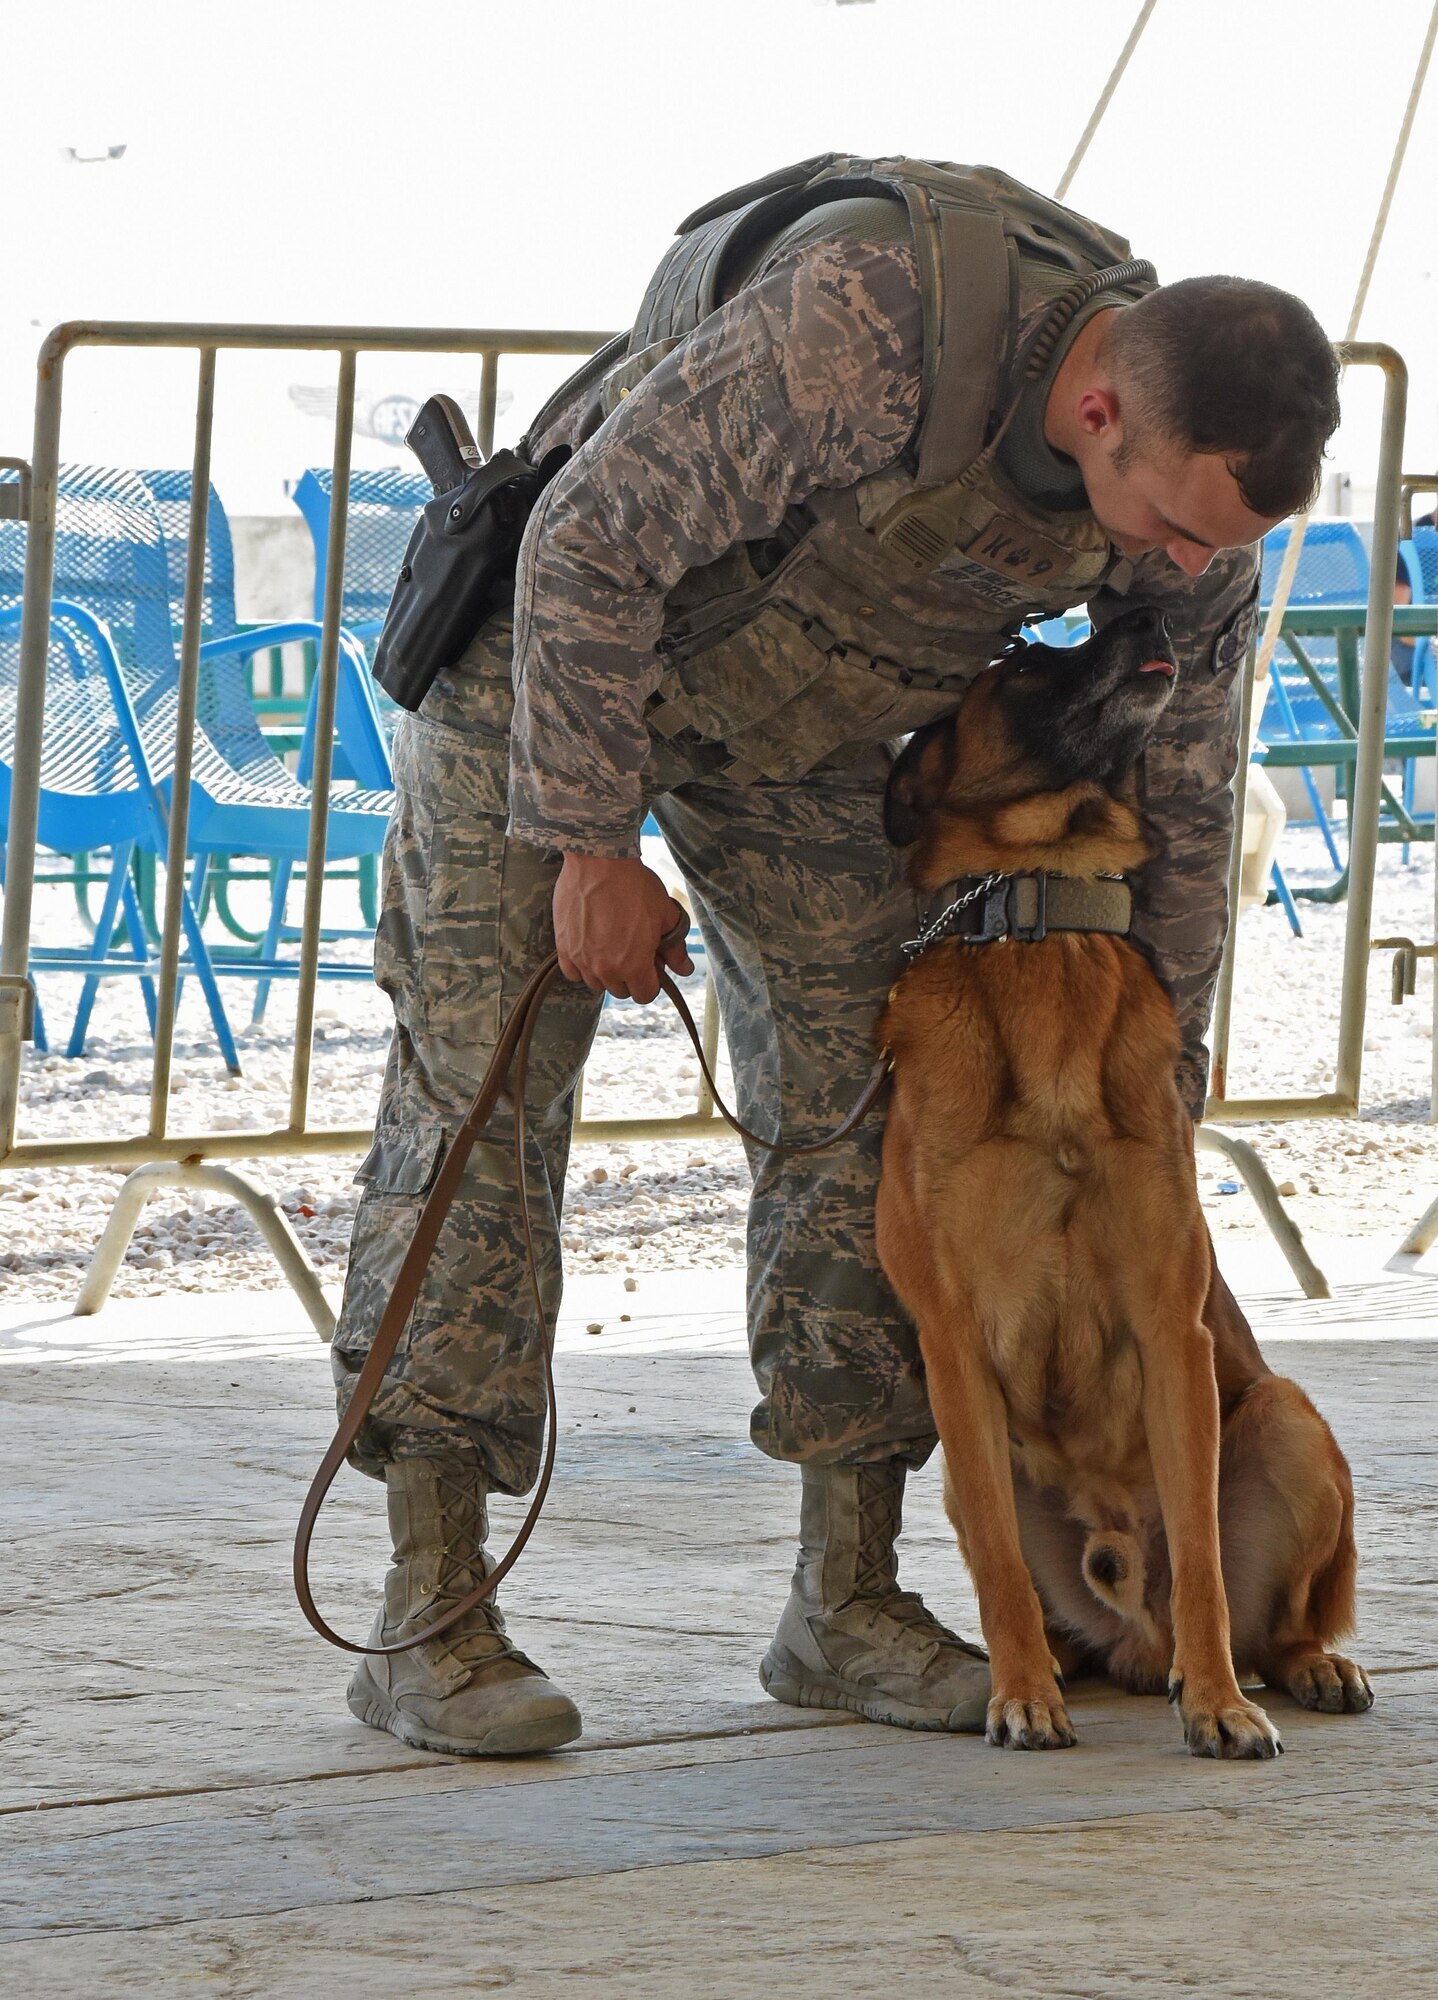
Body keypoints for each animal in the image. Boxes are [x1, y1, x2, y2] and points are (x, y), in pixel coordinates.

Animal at [876, 600, 1376, 1760]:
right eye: (1022, 660)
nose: (1143, 608)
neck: (1046, 921)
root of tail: (1132, 1639)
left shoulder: (1169, 1329)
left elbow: (1199, 1558)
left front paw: (1219, 1705)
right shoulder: (952, 1345)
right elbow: (999, 1567)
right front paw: (1021, 1694)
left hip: (1285, 1418)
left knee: (1271, 1618)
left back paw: (1298, 1666)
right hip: (969, 1465)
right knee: (1027, 1578)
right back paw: (1059, 1664)